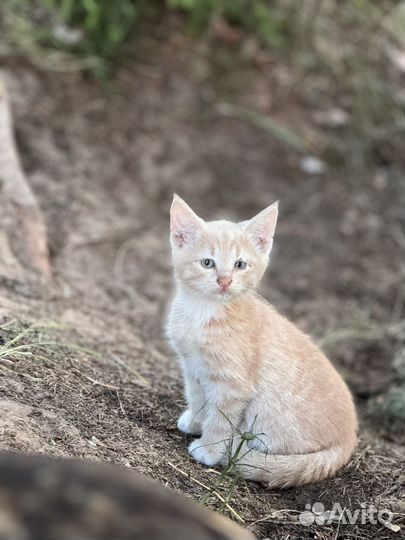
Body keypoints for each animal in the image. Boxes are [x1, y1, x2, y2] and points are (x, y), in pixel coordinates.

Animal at [166, 192, 356, 488]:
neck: (202, 312)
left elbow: (221, 419)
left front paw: (209, 449)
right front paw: (195, 421)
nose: (225, 281)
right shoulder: (192, 367)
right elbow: (198, 398)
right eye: (207, 263)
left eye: (240, 264)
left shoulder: (233, 386)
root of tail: (350, 438)